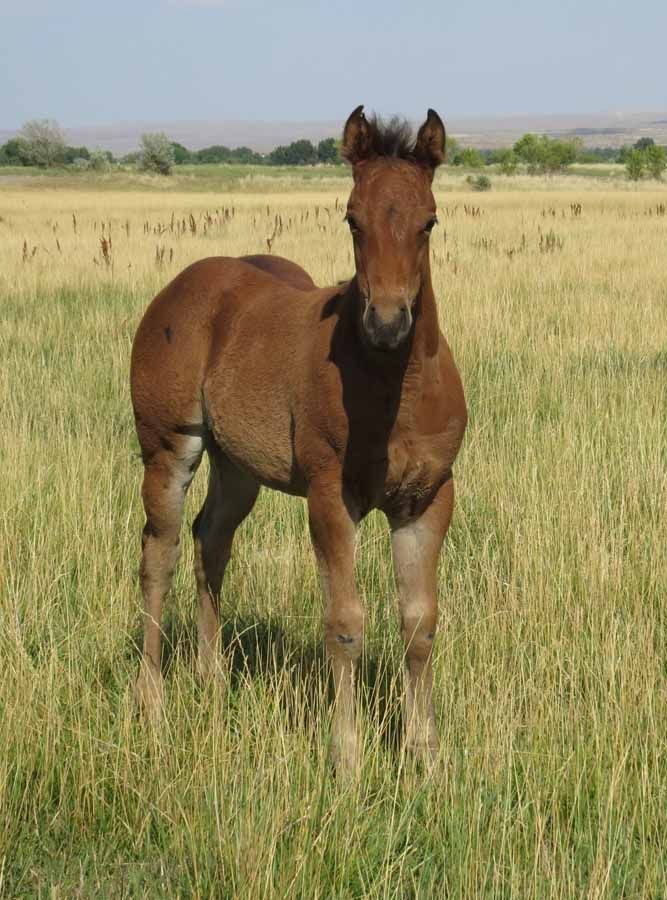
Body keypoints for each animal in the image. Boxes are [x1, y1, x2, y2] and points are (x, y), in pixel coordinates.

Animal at [130, 106, 467, 774]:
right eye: (352, 218)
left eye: (430, 221)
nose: (386, 324)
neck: (397, 391)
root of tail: (185, 283)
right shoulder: (331, 498)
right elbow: (345, 623)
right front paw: (348, 759)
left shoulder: (427, 498)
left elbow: (420, 623)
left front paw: (427, 757)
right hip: (168, 447)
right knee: (161, 555)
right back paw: (154, 702)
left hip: (238, 466)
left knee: (212, 539)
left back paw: (212, 680)